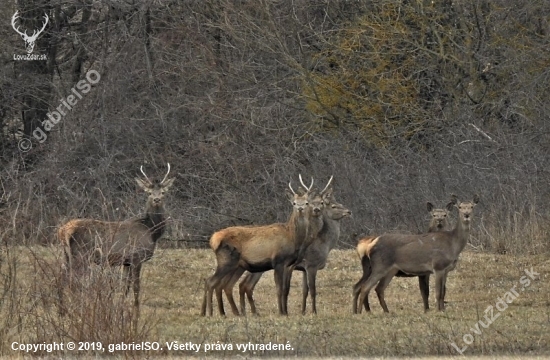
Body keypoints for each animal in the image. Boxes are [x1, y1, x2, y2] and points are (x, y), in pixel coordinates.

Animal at [58, 163, 175, 312]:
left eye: (163, 192)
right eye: (149, 192)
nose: (157, 199)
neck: (151, 231)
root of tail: (63, 231)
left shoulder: (126, 261)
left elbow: (125, 286)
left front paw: (121, 305)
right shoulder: (136, 256)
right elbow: (136, 286)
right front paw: (136, 309)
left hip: (66, 254)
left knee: (63, 277)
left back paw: (63, 308)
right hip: (80, 254)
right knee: (71, 279)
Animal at [202, 176, 324, 316]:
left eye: (306, 203)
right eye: (294, 203)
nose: (300, 208)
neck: (292, 238)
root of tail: (213, 239)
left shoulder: (288, 264)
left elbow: (285, 289)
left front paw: (285, 312)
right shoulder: (278, 261)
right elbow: (279, 289)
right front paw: (281, 312)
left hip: (234, 265)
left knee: (220, 284)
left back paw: (218, 312)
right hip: (226, 261)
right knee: (211, 282)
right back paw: (212, 312)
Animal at [238, 177, 352, 316]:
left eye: (340, 203)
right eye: (333, 205)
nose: (348, 211)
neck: (324, 244)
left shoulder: (303, 269)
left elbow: (304, 291)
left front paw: (302, 311)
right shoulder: (310, 265)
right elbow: (312, 290)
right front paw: (313, 312)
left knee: (245, 285)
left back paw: (250, 312)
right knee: (246, 285)